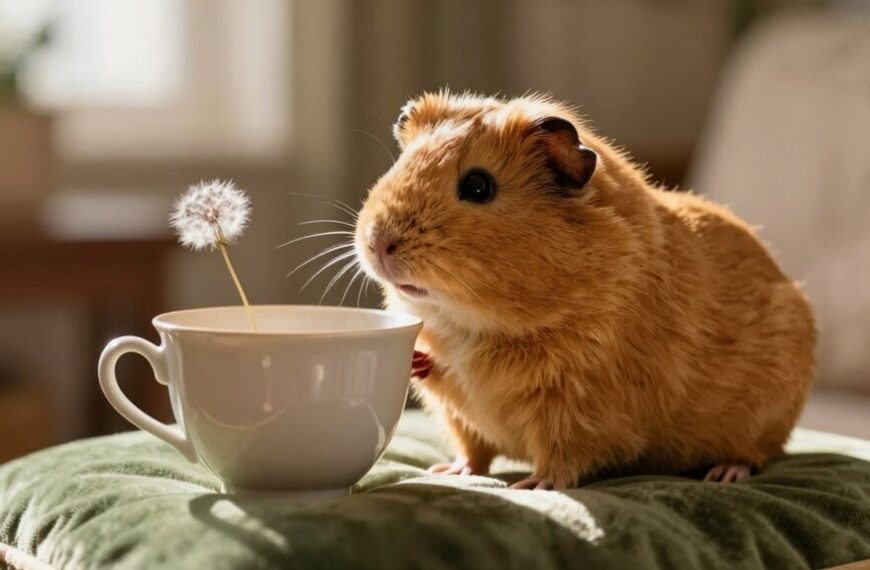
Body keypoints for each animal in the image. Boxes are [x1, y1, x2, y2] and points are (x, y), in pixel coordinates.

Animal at [353, 91, 815, 489]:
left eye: (478, 185)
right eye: (402, 163)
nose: (379, 242)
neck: (475, 326)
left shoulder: (577, 406)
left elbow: (562, 456)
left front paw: (532, 486)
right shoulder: (458, 409)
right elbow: (472, 448)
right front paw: (449, 471)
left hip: (761, 420)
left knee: (754, 455)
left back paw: (723, 475)